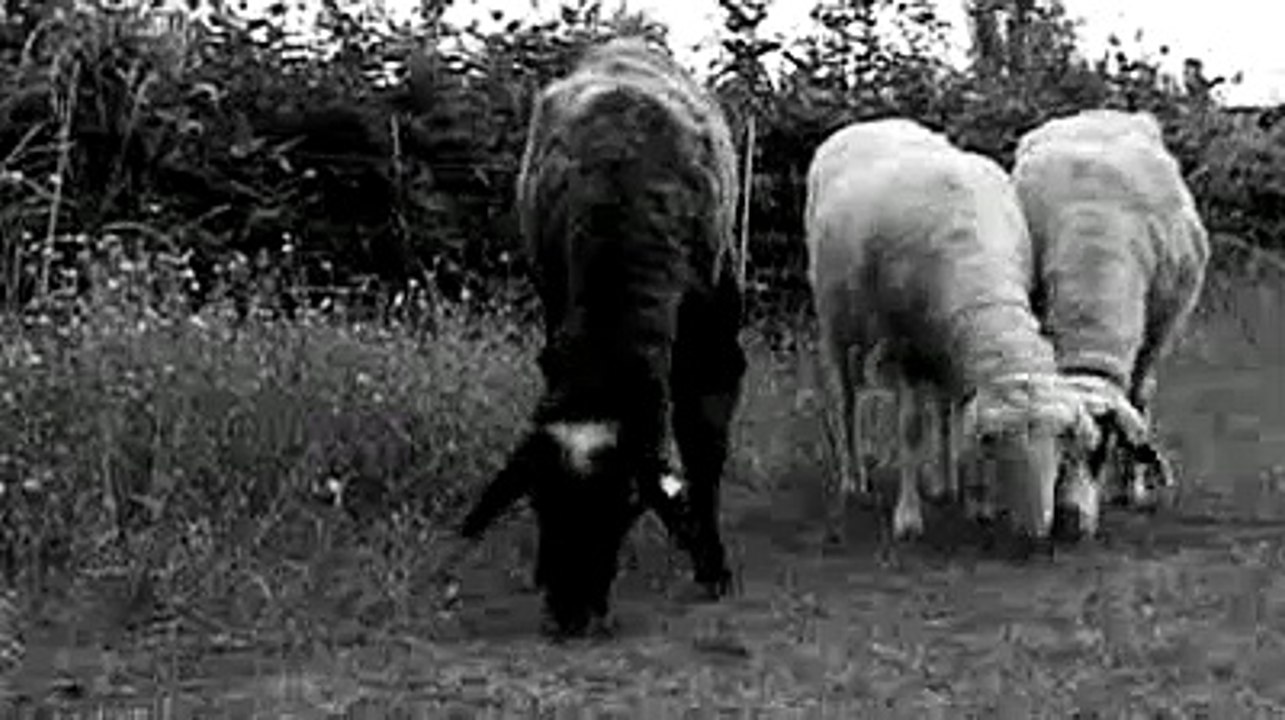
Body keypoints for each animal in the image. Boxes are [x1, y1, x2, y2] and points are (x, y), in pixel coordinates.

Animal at [456, 37, 747, 639]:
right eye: (539, 502)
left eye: (625, 505)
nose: (571, 615)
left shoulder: (711, 338)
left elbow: (703, 441)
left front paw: (711, 562)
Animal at [805, 118, 1113, 544]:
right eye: (1000, 442)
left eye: (1060, 441)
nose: (1037, 529)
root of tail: (876, 121)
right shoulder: (902, 346)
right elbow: (911, 428)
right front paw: (908, 518)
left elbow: (957, 416)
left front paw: (976, 503)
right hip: (837, 321)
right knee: (847, 400)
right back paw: (854, 479)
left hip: (937, 344)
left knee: (943, 408)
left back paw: (943, 482)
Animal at [1013, 109, 1211, 526]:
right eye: (1055, 450)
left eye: (1099, 453)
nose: (1068, 520)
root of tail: (1096, 113)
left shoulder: (1157, 332)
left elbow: (1136, 402)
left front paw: (1129, 486)